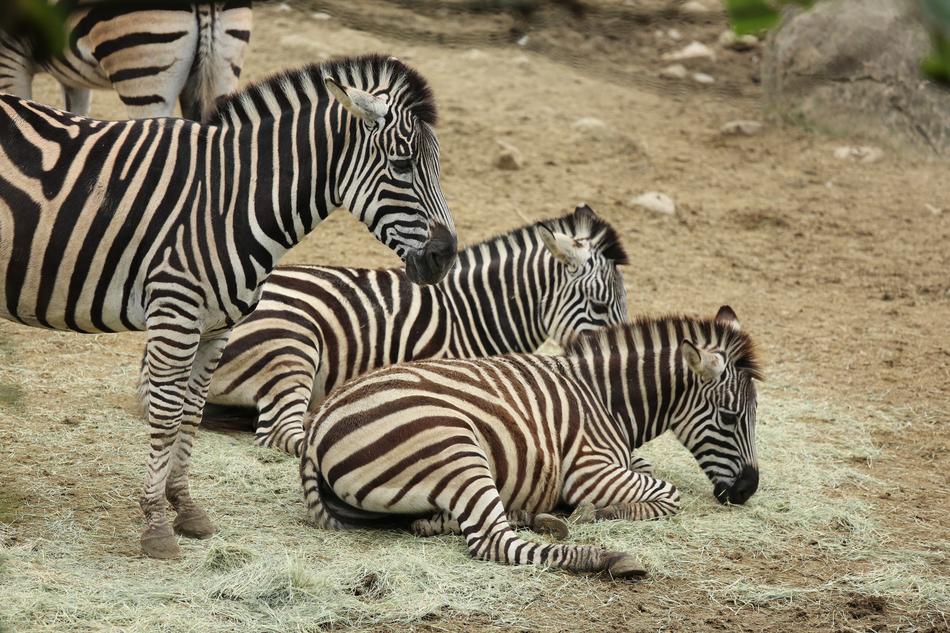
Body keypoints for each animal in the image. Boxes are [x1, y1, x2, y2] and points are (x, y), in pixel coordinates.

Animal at [0, 54, 458, 559]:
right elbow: (165, 415)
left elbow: (192, 413)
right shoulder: (175, 311)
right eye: (401, 164)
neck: (228, 199)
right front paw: (156, 526)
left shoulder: (215, 328)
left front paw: (185, 509)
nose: (445, 256)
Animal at [300, 307, 761, 577]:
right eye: (730, 416)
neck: (606, 398)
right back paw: (605, 557)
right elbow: (668, 492)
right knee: (494, 542)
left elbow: (650, 472)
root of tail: (318, 423)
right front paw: (596, 511)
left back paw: (517, 516)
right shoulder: (589, 470)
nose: (747, 490)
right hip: (455, 445)